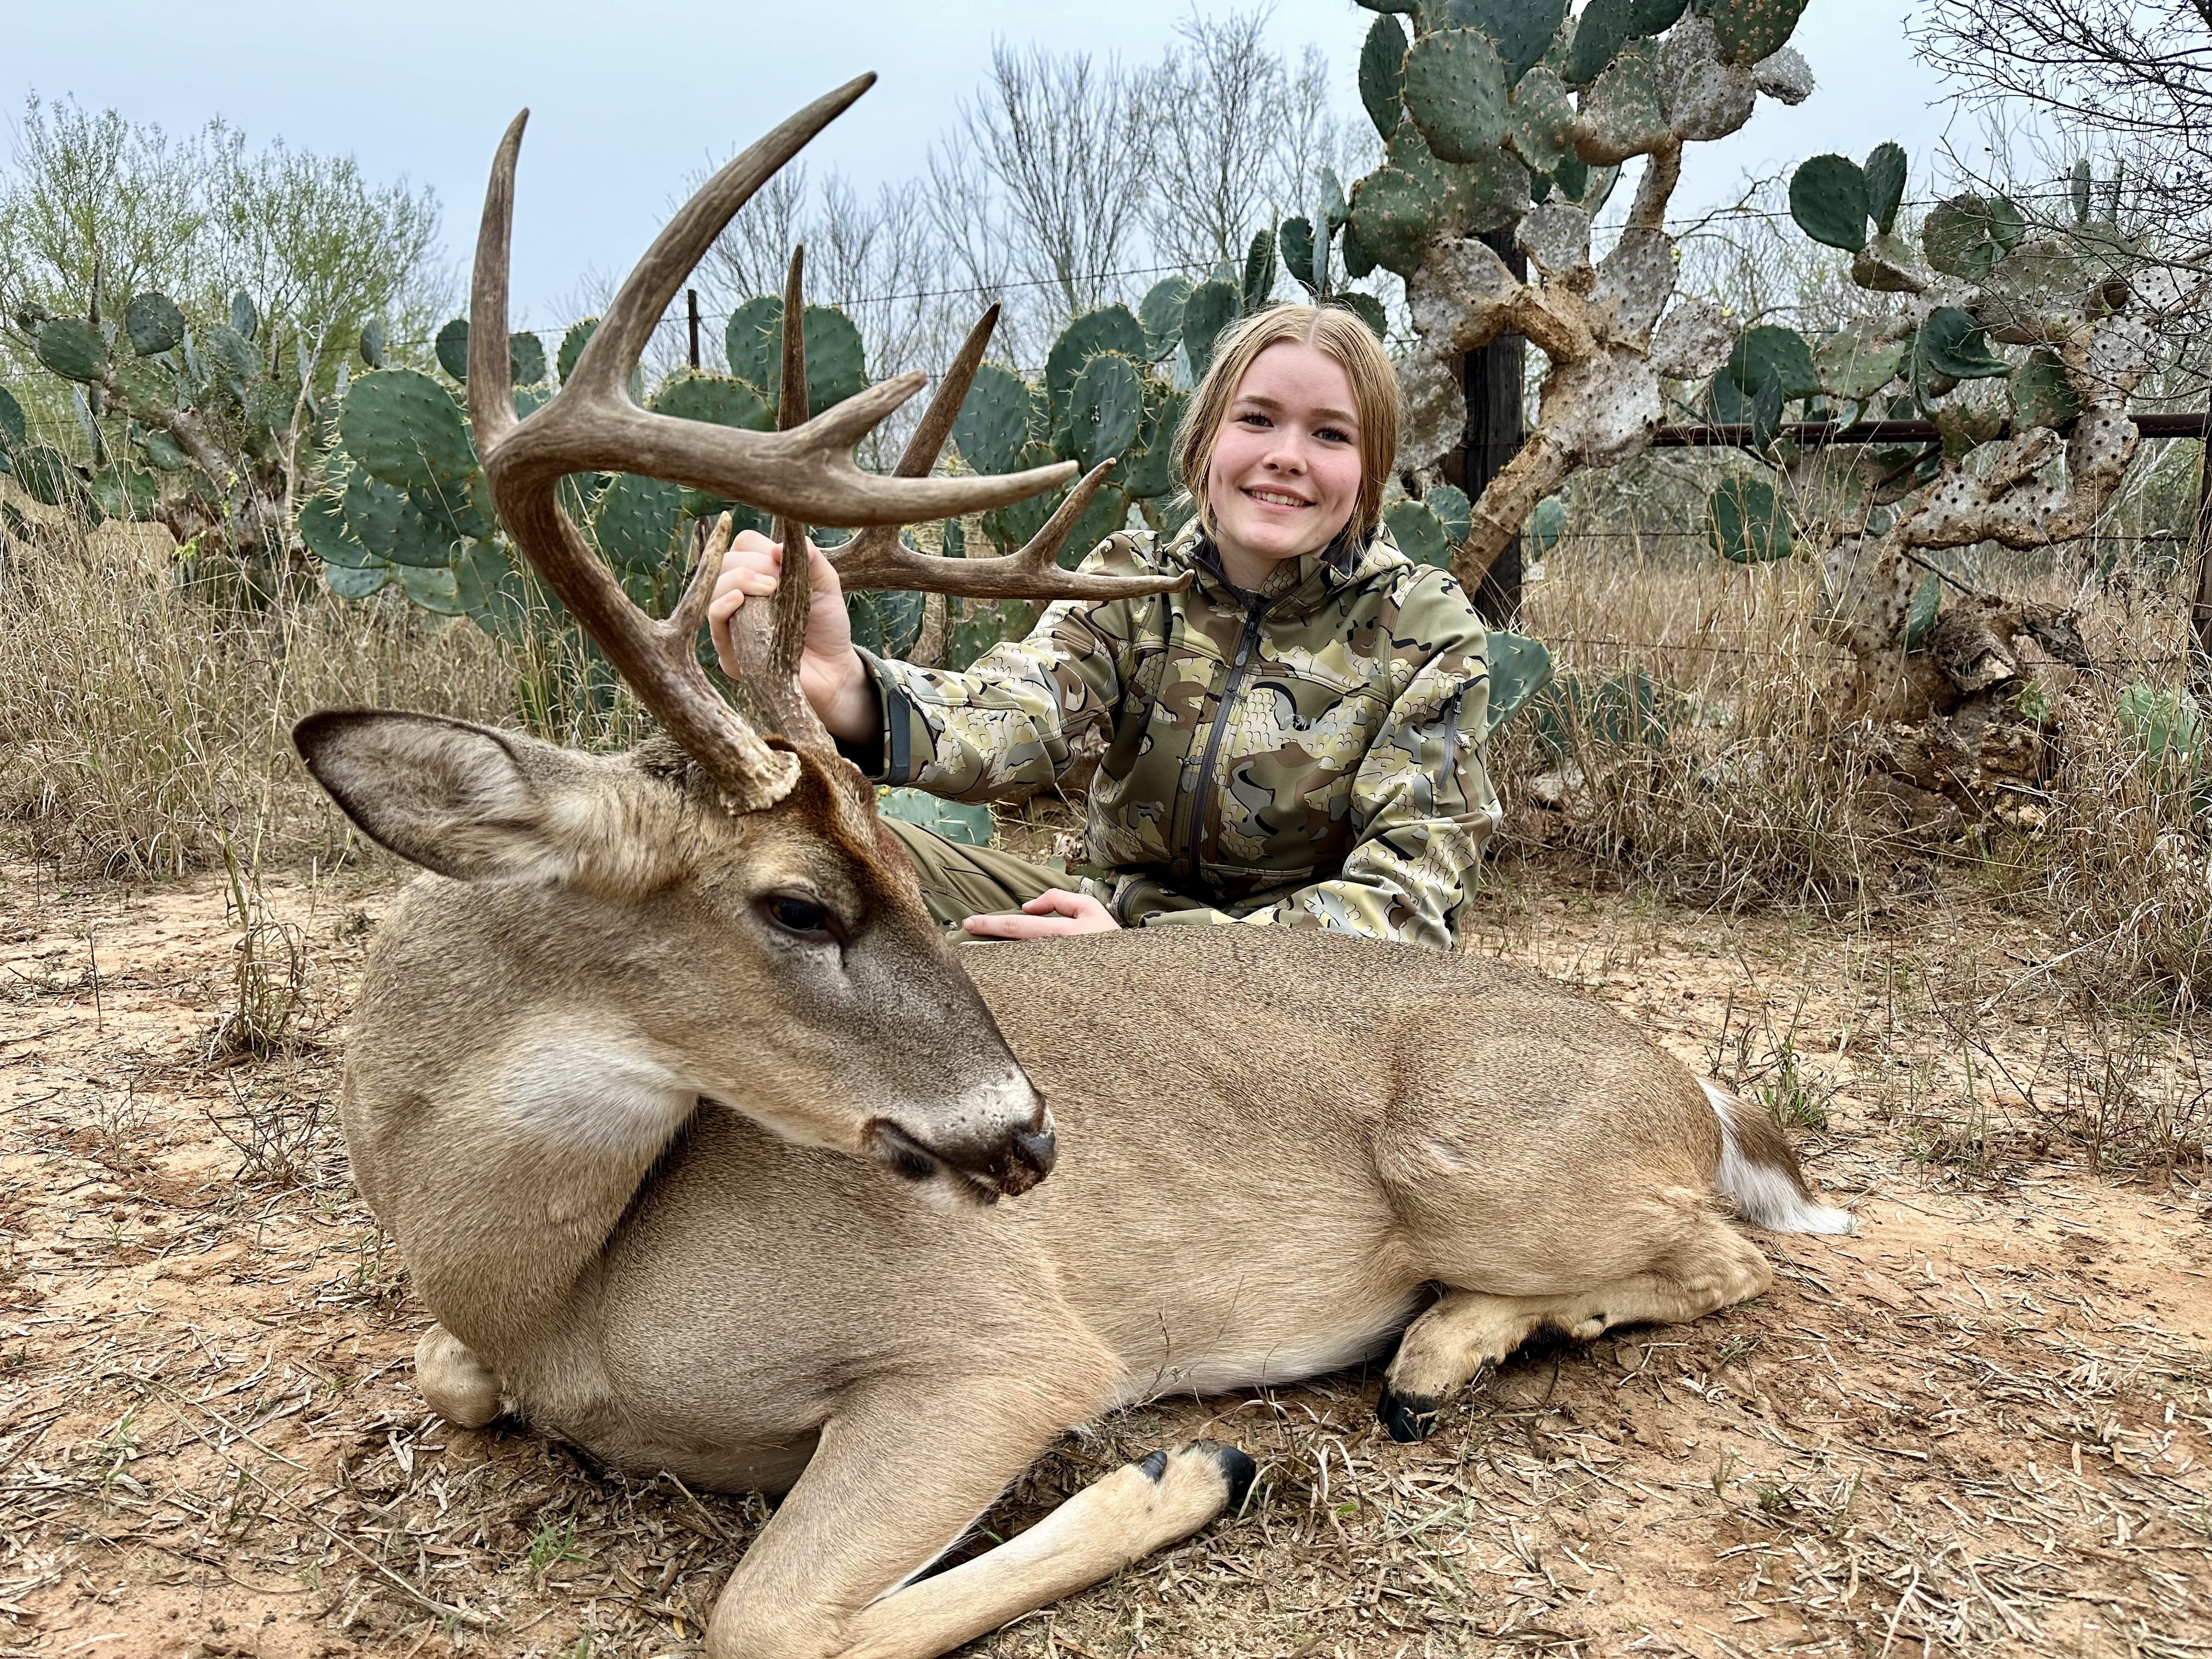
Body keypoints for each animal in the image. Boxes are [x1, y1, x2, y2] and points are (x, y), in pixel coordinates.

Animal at [293, 77, 1853, 1659]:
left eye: (876, 877)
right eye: (799, 903)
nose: (1033, 1140)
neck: (560, 1295)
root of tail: (1689, 1082)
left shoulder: (1005, 1345)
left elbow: (767, 1617)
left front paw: (1185, 1471)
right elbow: (443, 1377)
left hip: (1482, 1164)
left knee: (1735, 1256)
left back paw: (1436, 1351)